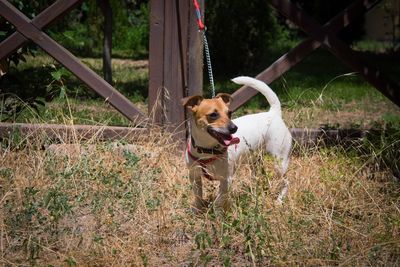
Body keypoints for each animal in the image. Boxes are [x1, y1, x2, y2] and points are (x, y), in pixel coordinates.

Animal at [183, 76, 292, 213]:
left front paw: (217, 215)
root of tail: (273, 113)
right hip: (254, 162)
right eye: (213, 114)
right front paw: (197, 211)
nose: (234, 128)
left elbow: (219, 201)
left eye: (229, 113)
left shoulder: (226, 180)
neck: (207, 150)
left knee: (286, 182)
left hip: (279, 162)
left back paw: (279, 200)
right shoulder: (194, 177)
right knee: (257, 179)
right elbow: (198, 196)